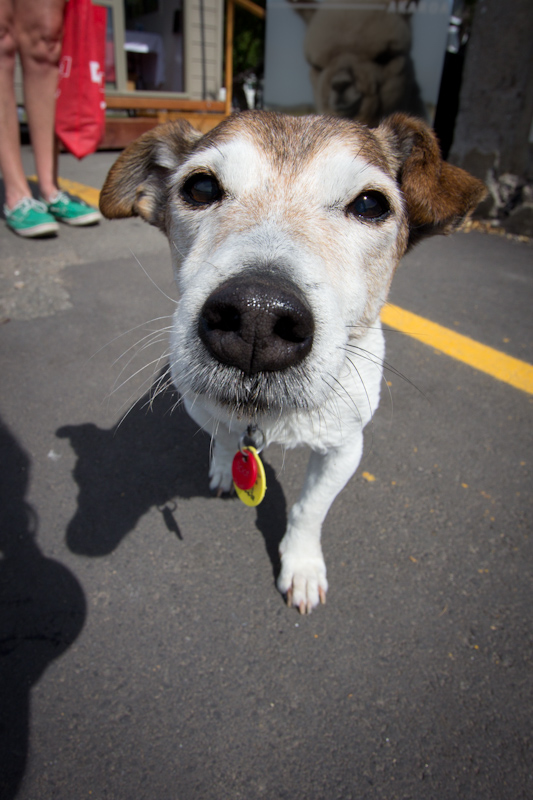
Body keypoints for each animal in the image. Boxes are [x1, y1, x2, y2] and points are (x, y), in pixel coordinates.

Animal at [100, 111, 486, 612]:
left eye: (371, 204)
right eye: (200, 188)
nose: (257, 317)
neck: (265, 419)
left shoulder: (345, 448)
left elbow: (309, 509)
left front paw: (301, 567)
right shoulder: (205, 409)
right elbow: (225, 437)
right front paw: (226, 465)